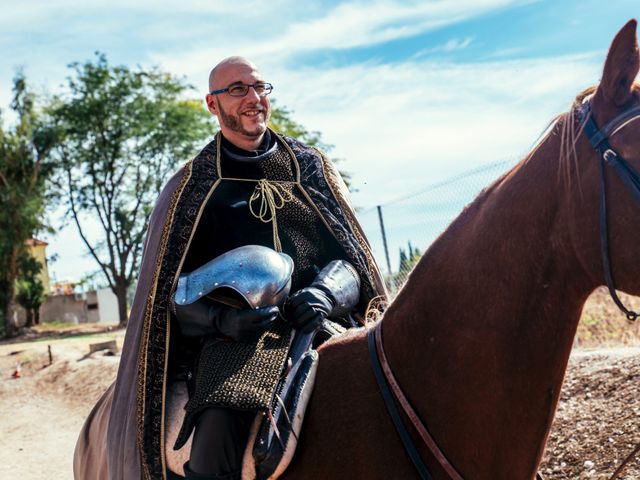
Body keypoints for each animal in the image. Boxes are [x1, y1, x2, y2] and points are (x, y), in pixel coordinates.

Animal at [76, 19, 640, 480]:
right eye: (239, 90)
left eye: (257, 89)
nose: (254, 100)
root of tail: (94, 422)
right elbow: (186, 297)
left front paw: (313, 302)